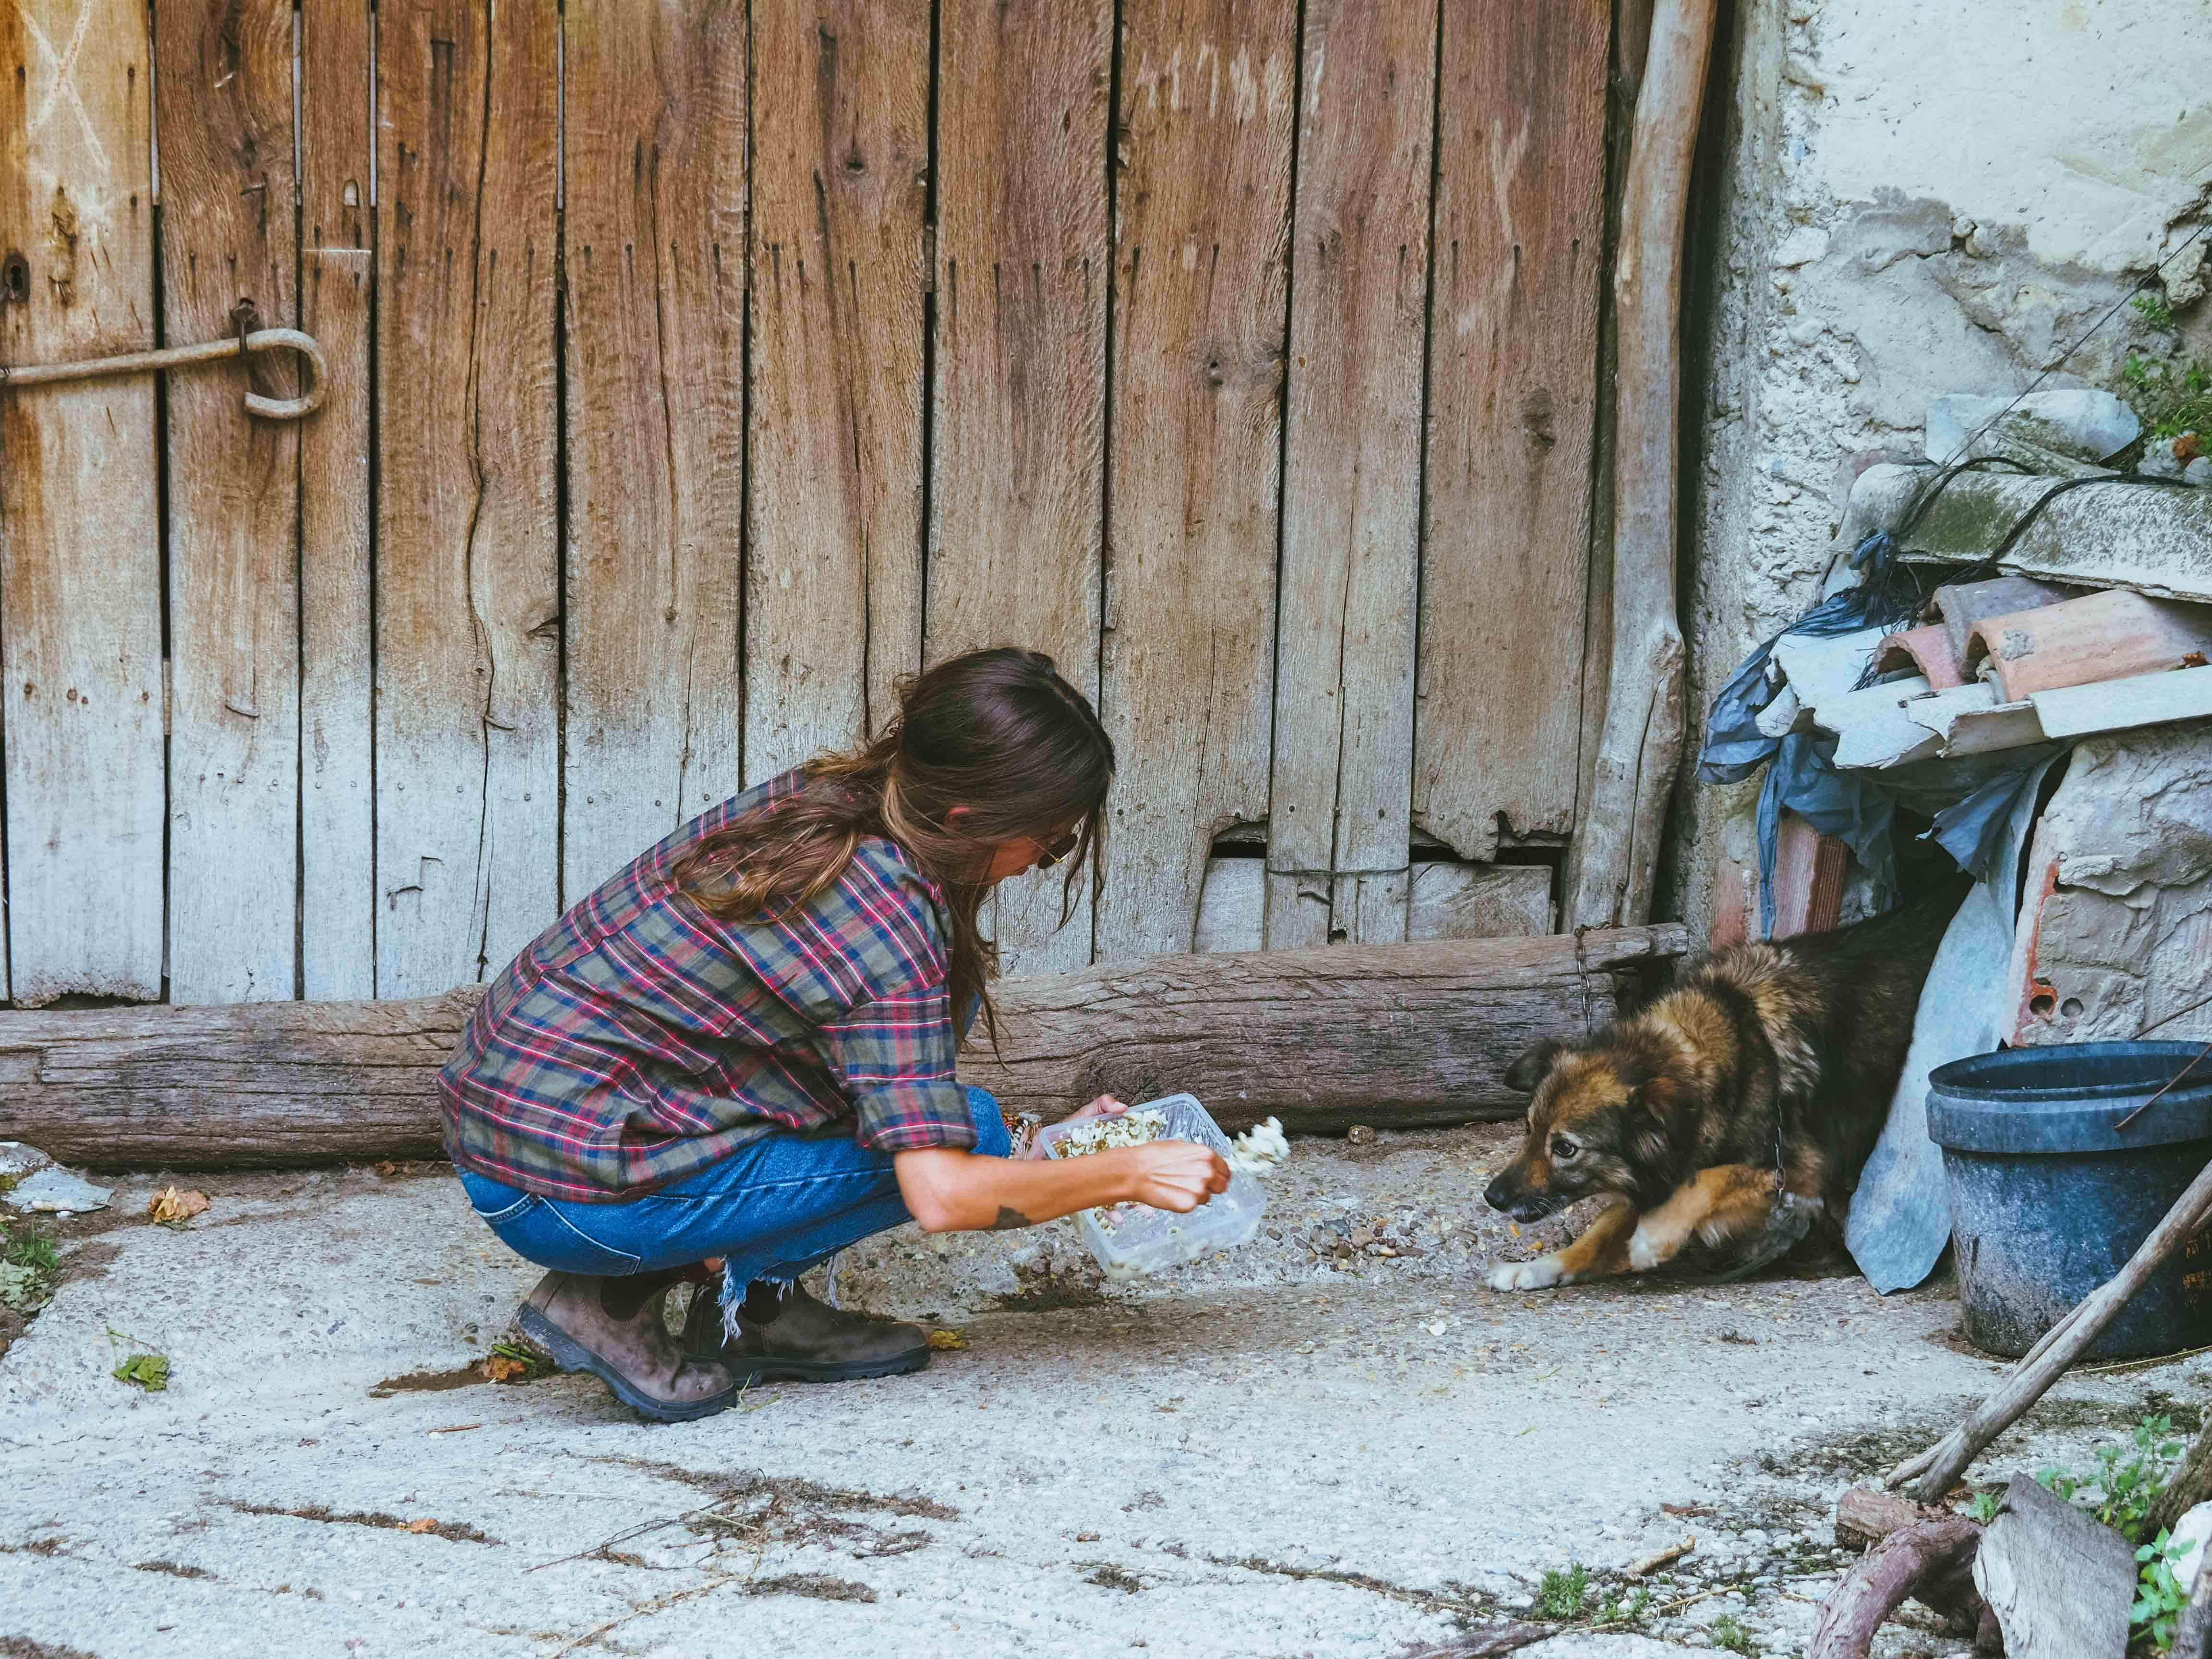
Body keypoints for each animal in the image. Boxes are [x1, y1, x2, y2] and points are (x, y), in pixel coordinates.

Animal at [1478, 889, 1964, 1292]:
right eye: (1528, 1130)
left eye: (1565, 1148)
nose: (1492, 1197)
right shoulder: (1659, 1172)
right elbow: (1599, 1234)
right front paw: (1536, 1268)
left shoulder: (1799, 1173)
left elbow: (1713, 1178)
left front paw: (1655, 1236)